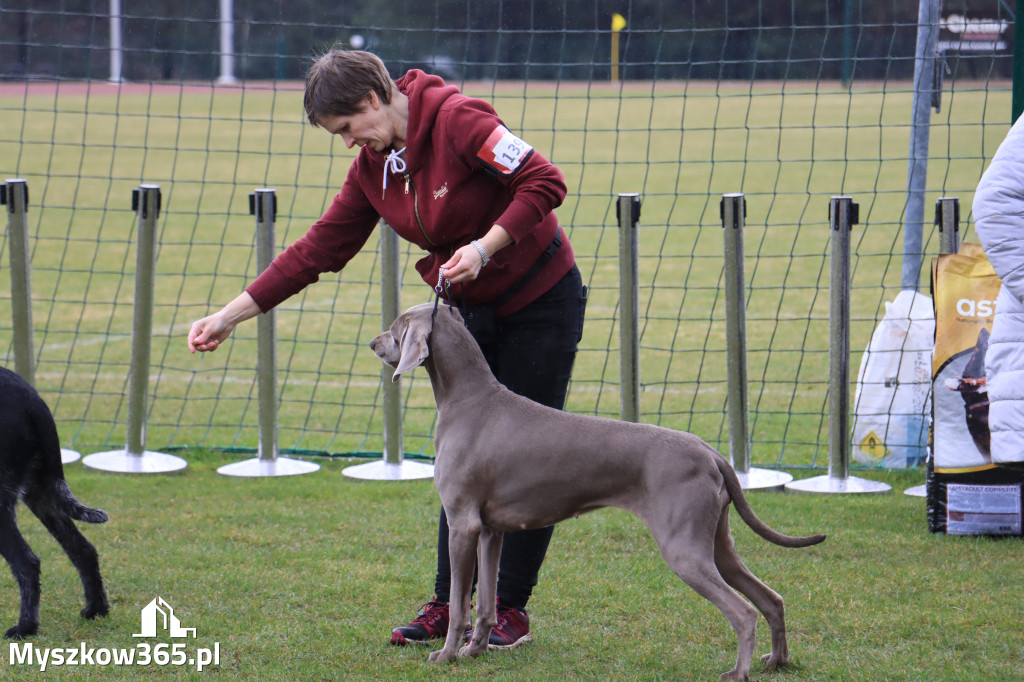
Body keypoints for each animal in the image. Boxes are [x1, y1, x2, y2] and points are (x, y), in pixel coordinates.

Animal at [0, 366, 109, 638]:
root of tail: (32, 401)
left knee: (27, 563)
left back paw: (25, 627)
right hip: (41, 491)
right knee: (83, 550)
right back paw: (96, 609)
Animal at [372, 303, 827, 679]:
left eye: (396, 328)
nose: (373, 343)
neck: (468, 399)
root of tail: (711, 452)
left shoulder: (462, 524)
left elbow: (458, 605)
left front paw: (447, 655)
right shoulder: (489, 530)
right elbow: (483, 605)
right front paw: (475, 651)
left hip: (684, 549)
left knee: (744, 612)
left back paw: (738, 672)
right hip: (716, 543)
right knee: (772, 598)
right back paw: (777, 661)